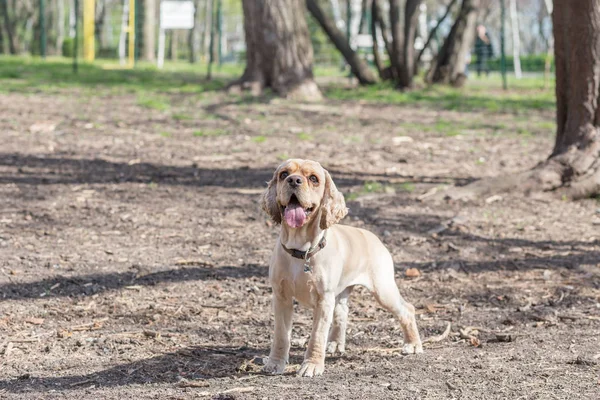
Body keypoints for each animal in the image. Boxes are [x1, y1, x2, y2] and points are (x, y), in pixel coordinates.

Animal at [260, 158, 424, 376]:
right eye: (284, 174)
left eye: (314, 178)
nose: (294, 180)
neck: (301, 250)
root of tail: (374, 237)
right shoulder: (281, 296)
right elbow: (280, 335)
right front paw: (275, 363)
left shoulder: (324, 299)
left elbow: (317, 336)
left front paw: (312, 365)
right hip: (342, 292)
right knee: (342, 312)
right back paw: (335, 344)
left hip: (383, 290)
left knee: (407, 309)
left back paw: (413, 345)